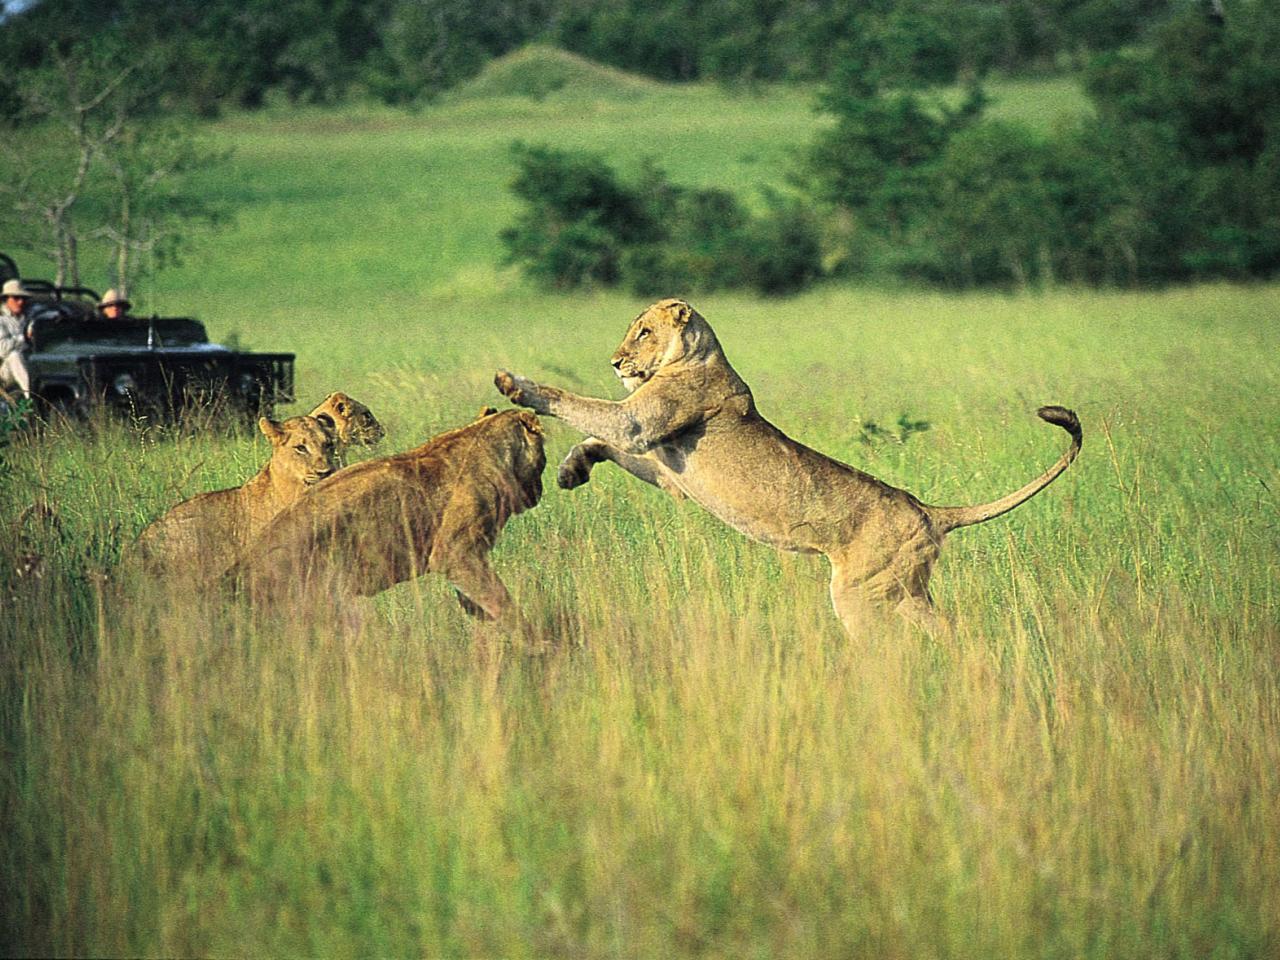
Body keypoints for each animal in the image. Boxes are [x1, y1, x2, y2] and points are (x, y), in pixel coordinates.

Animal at [225, 407, 545, 632]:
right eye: (543, 460)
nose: (541, 490)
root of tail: (240, 567)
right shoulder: (457, 552)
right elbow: (501, 601)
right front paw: (535, 643)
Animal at [494, 296, 1085, 634]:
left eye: (643, 332)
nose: (616, 362)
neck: (696, 356)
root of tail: (928, 511)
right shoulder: (668, 470)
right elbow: (599, 437)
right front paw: (573, 469)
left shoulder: (639, 422)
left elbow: (582, 407)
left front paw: (516, 385)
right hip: (904, 590)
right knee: (950, 632)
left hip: (859, 593)